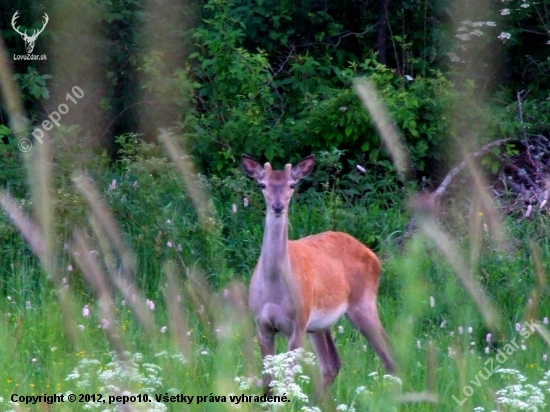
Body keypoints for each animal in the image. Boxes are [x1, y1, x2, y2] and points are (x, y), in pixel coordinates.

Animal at [242, 154, 396, 396]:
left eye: (292, 184)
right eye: (262, 184)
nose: (278, 206)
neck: (274, 287)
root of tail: (373, 255)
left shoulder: (297, 324)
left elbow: (286, 381)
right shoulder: (262, 324)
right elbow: (268, 384)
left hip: (362, 303)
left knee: (388, 356)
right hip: (320, 324)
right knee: (332, 363)